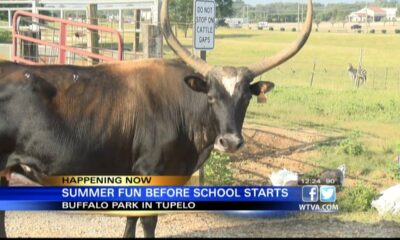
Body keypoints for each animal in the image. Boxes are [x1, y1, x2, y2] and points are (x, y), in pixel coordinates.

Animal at [0, 0, 312, 237]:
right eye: (211, 96)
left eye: (246, 98)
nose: (231, 142)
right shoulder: (152, 172)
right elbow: (148, 220)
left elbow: (131, 219)